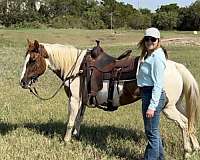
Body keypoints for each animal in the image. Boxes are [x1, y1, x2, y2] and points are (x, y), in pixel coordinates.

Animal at [20, 39, 200, 157]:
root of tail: (176, 66)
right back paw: (195, 147)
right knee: (190, 121)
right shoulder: (82, 101)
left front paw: (66, 141)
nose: (22, 82)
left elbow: (70, 121)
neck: (77, 68)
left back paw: (187, 151)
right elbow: (78, 119)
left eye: (33, 60)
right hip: (177, 104)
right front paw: (76, 137)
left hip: (168, 108)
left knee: (184, 123)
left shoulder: (74, 99)